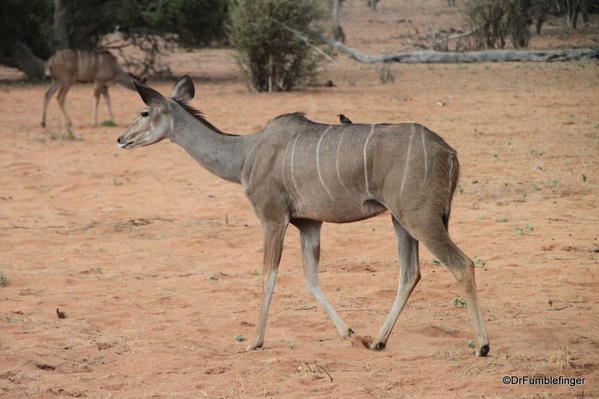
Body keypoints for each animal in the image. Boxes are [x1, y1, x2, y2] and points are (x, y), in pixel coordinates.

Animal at [118, 76, 492, 358]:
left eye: (144, 111)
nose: (121, 138)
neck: (245, 154)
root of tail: (449, 152)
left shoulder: (272, 218)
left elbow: (268, 276)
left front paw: (255, 341)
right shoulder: (309, 224)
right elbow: (311, 278)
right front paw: (352, 334)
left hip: (420, 218)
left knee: (462, 264)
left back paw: (482, 346)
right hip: (402, 221)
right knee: (410, 273)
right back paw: (378, 341)